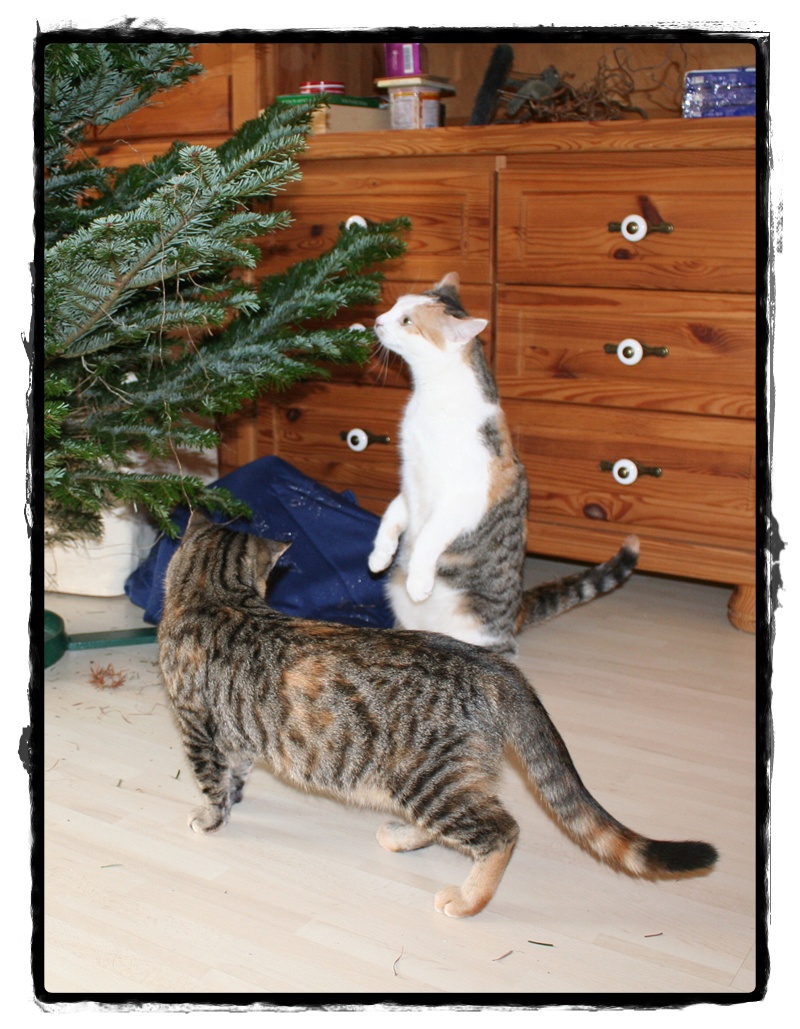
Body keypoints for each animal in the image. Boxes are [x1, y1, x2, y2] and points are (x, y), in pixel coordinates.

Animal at [158, 513, 717, 919]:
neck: (214, 595)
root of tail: (492, 664)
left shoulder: (196, 725)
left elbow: (211, 783)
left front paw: (209, 819)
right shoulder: (234, 733)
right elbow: (235, 773)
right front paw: (235, 799)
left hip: (426, 779)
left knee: (501, 831)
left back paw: (468, 900)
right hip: (442, 778)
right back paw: (403, 838)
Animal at [369, 272, 638, 654]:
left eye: (406, 321)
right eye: (395, 306)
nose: (378, 320)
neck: (431, 399)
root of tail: (516, 614)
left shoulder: (465, 497)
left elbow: (429, 536)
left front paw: (419, 580)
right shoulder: (410, 483)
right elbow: (391, 517)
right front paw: (378, 556)